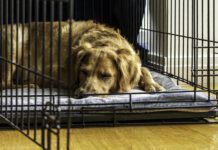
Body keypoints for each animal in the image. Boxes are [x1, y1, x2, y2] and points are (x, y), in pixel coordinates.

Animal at [0, 20, 164, 97]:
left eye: (106, 76)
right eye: (83, 72)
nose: (83, 94)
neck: (104, 42)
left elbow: (144, 69)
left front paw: (152, 84)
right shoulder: (52, 71)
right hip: (13, 41)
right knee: (4, 84)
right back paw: (28, 86)